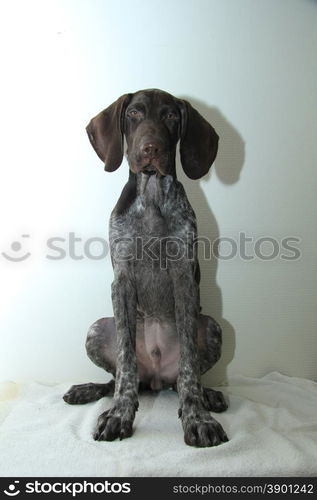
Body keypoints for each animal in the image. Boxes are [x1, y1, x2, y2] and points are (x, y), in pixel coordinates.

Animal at [63, 88, 227, 448]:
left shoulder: (184, 281)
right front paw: (119, 415)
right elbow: (125, 365)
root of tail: (155, 379)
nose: (151, 148)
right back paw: (88, 390)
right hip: (98, 328)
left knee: (182, 379)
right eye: (134, 113)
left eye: (171, 116)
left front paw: (197, 418)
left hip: (211, 327)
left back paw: (208, 396)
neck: (151, 196)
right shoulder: (122, 282)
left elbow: (189, 370)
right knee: (118, 380)